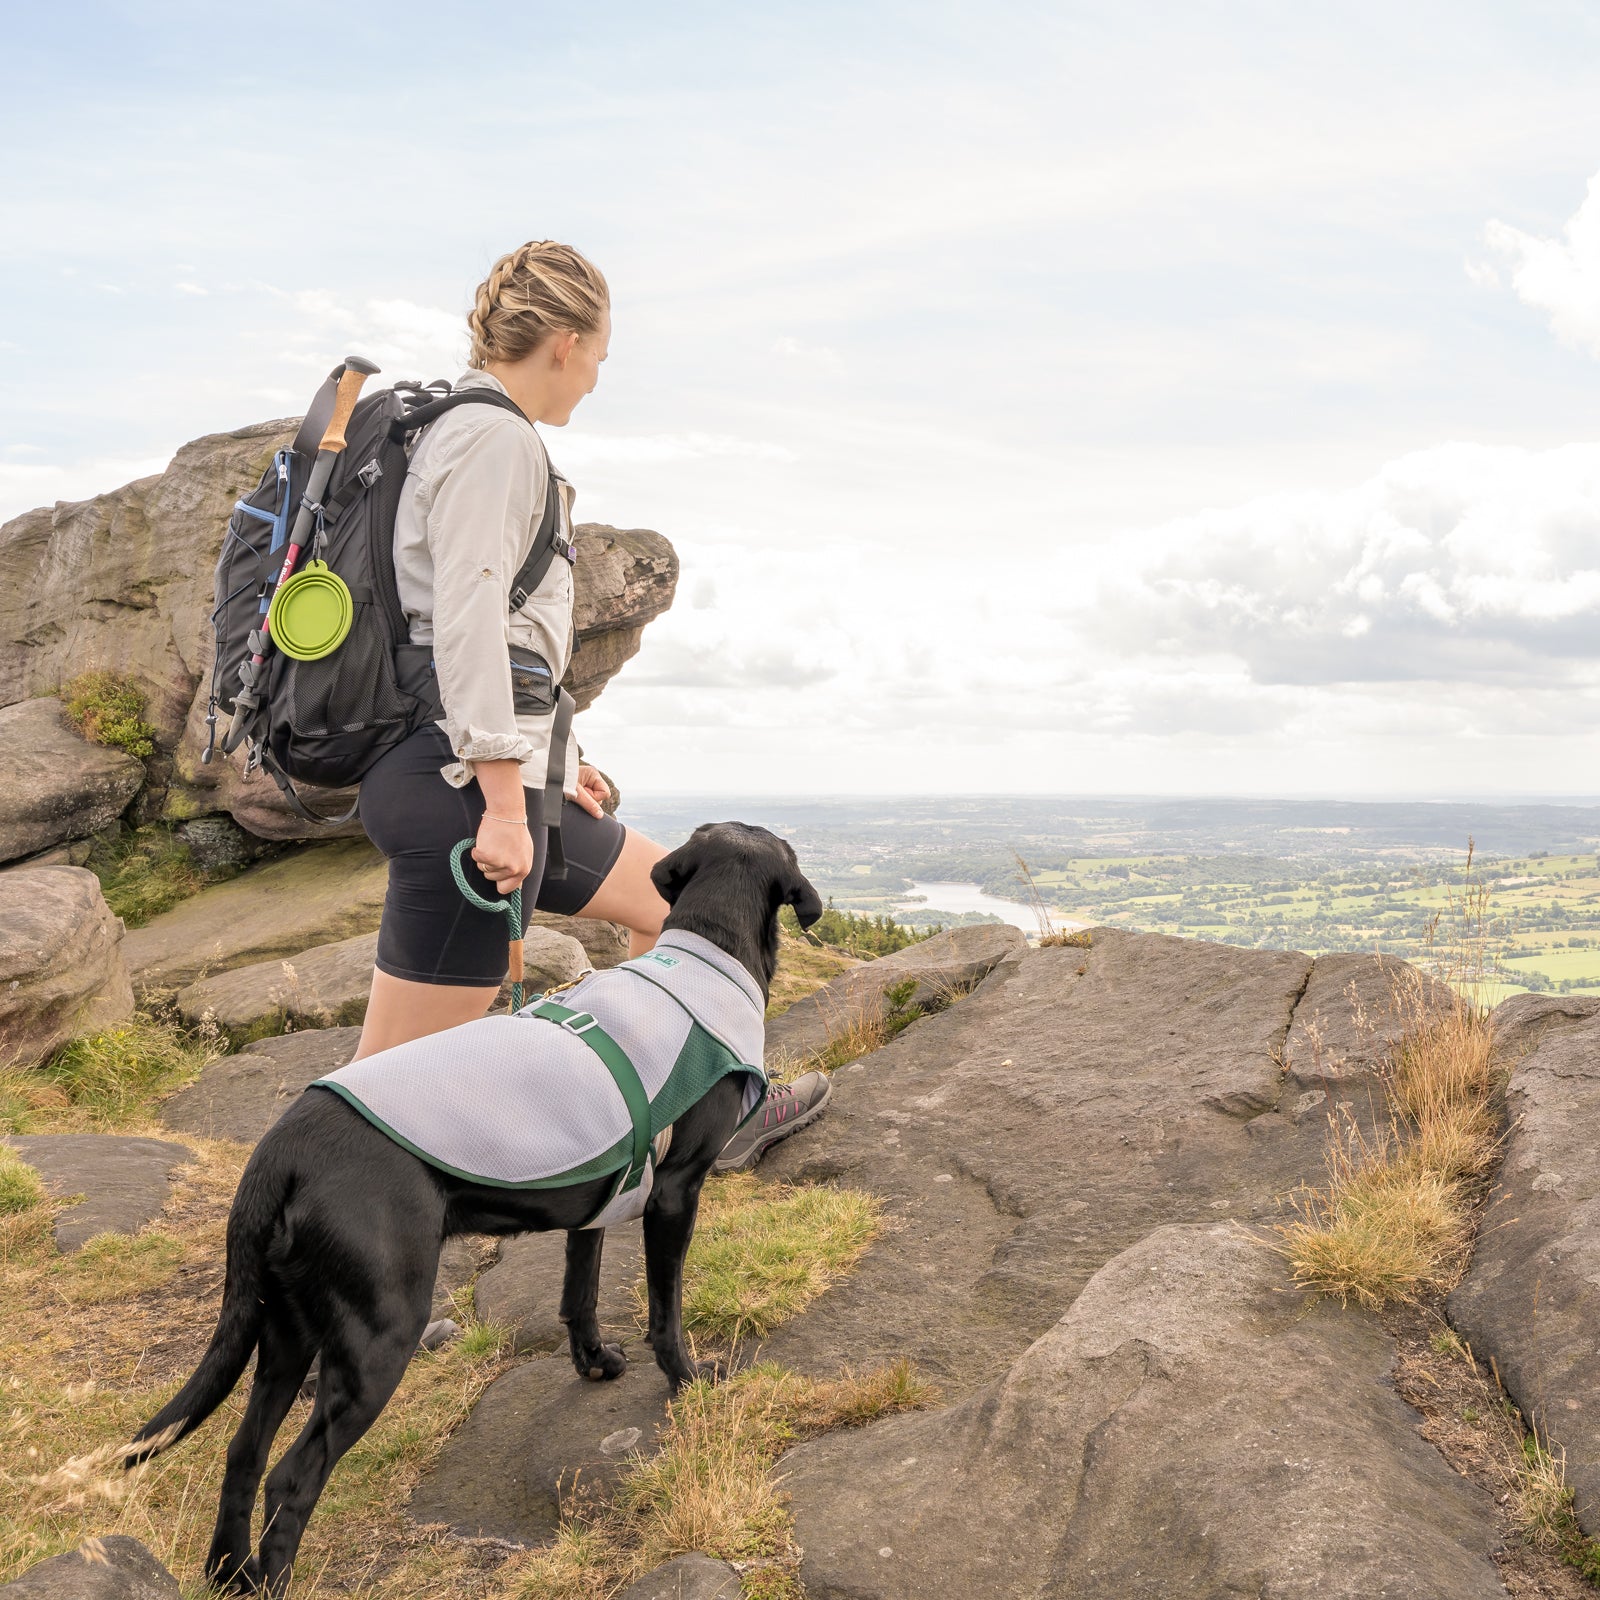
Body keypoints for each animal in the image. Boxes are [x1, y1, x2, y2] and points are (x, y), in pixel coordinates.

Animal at [129, 819, 819, 1593]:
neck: (705, 953)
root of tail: (282, 1147)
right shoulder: (675, 1192)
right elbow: (665, 1310)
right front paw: (689, 1380)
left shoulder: (602, 1192)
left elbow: (580, 1293)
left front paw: (593, 1363)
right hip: (379, 1338)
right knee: (291, 1478)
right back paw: (267, 1579)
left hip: (285, 1330)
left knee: (243, 1453)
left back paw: (230, 1573)